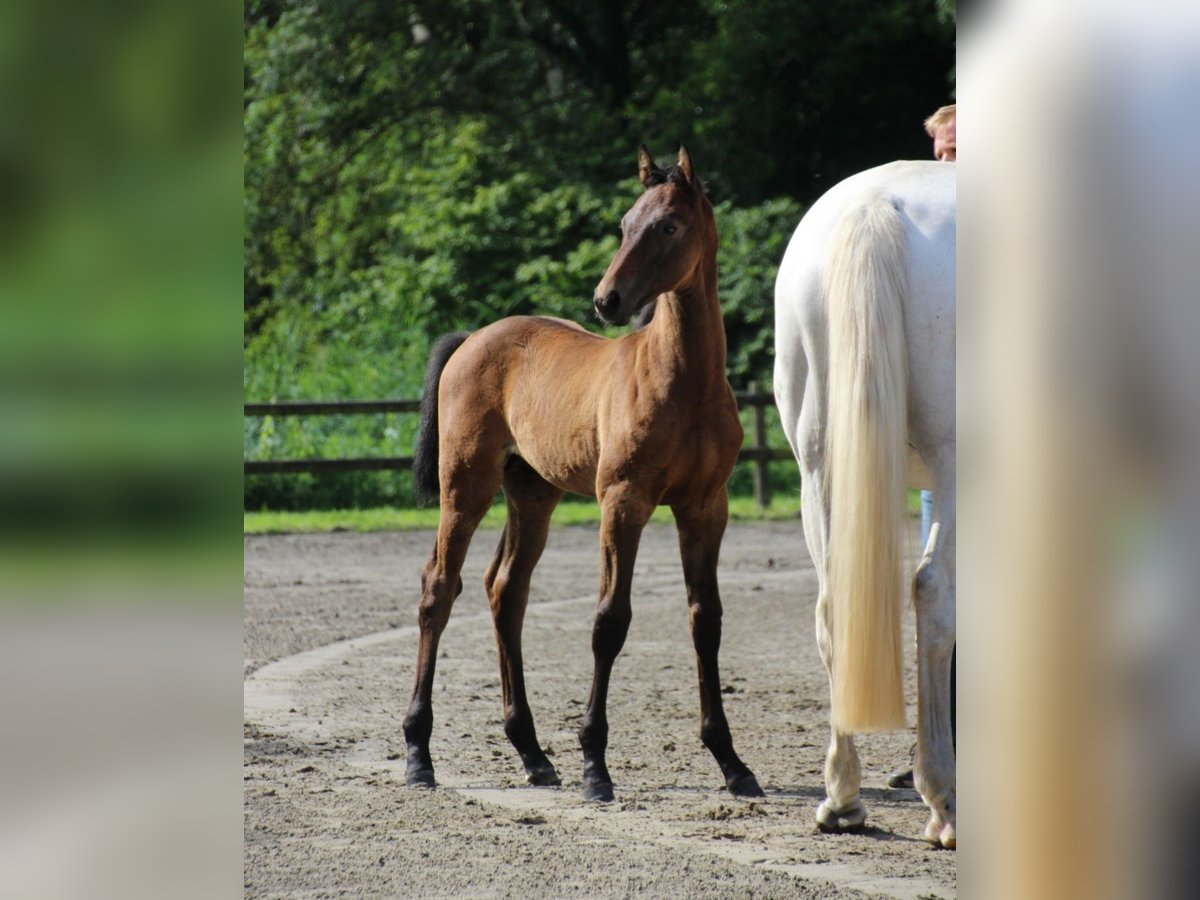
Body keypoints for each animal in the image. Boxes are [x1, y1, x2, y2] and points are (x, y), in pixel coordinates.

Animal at [402, 145, 764, 803]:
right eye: (623, 223)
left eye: (667, 226)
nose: (606, 300)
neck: (685, 383)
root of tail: (473, 339)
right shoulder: (623, 501)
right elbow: (609, 621)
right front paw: (596, 764)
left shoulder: (706, 506)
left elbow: (706, 620)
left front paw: (731, 762)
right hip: (464, 488)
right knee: (439, 587)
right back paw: (419, 753)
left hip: (532, 494)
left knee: (505, 591)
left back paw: (532, 754)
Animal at [773, 160, 956, 848]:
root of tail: (876, 204)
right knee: (933, 592)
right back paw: (943, 800)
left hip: (817, 468)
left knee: (833, 608)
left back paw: (842, 799)